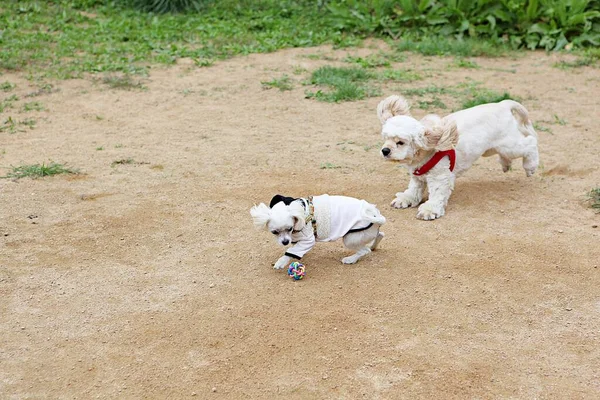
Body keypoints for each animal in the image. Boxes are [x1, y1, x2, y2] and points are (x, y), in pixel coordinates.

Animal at [251, 193, 386, 268]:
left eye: (289, 228)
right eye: (274, 232)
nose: (285, 242)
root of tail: (373, 212)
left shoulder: (308, 240)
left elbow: (292, 251)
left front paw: (281, 262)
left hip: (350, 238)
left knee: (365, 251)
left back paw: (350, 259)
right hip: (364, 234)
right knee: (380, 235)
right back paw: (373, 246)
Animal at [380, 94, 540, 220]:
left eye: (400, 142)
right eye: (385, 138)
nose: (385, 150)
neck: (425, 154)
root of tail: (502, 105)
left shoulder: (440, 177)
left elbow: (436, 194)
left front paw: (429, 210)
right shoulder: (417, 176)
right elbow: (414, 189)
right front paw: (406, 199)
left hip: (509, 146)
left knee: (530, 143)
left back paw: (530, 167)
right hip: (493, 149)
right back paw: (506, 165)